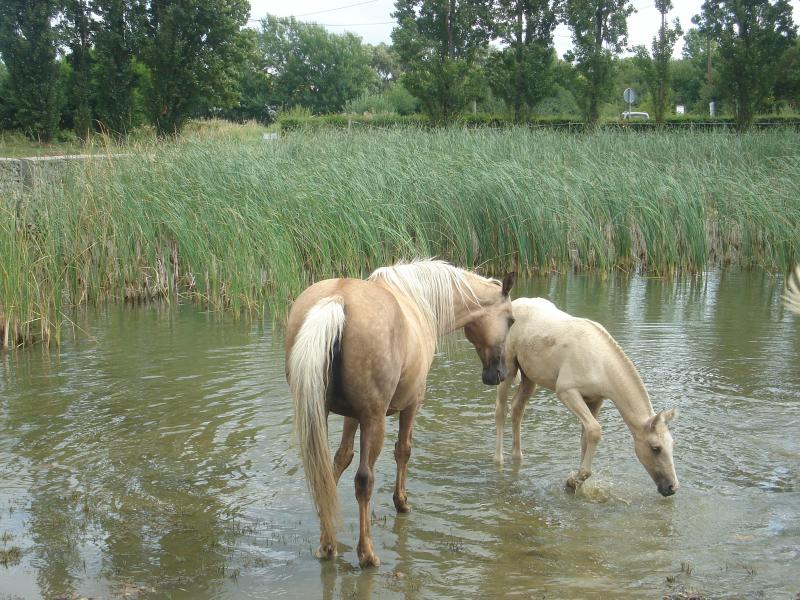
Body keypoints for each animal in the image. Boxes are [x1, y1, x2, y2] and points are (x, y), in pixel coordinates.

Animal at [284, 258, 516, 568]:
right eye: (511, 320)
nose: (498, 374)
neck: (419, 301)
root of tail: (338, 298)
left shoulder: (351, 415)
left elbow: (340, 460)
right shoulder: (412, 402)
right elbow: (403, 451)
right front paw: (401, 501)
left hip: (319, 415)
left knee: (322, 473)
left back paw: (327, 545)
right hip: (374, 418)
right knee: (364, 480)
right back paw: (367, 554)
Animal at [496, 296, 680, 496]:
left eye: (672, 444)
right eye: (655, 448)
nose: (671, 487)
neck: (601, 365)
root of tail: (515, 303)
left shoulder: (596, 399)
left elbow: (586, 437)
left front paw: (577, 483)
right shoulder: (566, 391)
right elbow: (595, 430)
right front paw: (574, 480)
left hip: (530, 377)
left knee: (517, 409)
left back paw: (518, 456)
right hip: (508, 368)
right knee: (501, 410)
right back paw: (498, 460)